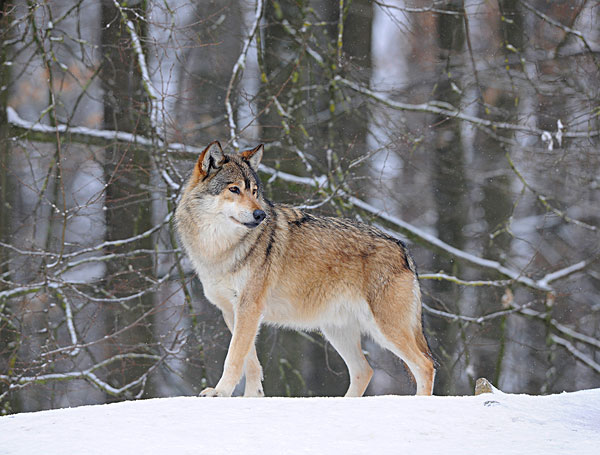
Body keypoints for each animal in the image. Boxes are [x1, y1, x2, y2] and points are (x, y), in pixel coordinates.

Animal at [175, 141, 436, 398]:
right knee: (365, 371)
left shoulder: (249, 308)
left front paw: (220, 392)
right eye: (234, 189)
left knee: (426, 365)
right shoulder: (232, 312)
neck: (219, 249)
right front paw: (252, 398)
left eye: (254, 192)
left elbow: (234, 358)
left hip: (385, 329)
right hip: (337, 331)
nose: (260, 214)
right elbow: (250, 363)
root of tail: (403, 247)